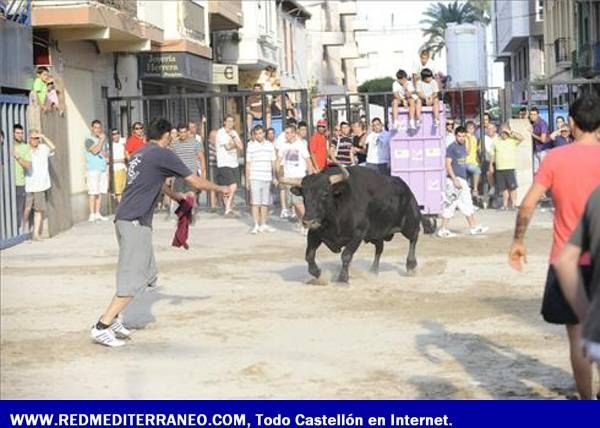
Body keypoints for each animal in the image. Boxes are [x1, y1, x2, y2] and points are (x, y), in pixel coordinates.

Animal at [284, 166, 434, 282]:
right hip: (376, 234)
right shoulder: (314, 233)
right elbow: (309, 256)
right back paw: (373, 271)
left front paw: (343, 278)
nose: (308, 221)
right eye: (304, 195)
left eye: (325, 194)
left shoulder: (357, 234)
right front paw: (319, 274)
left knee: (413, 238)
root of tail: (407, 190)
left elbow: (346, 255)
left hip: (410, 224)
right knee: (379, 248)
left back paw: (411, 266)